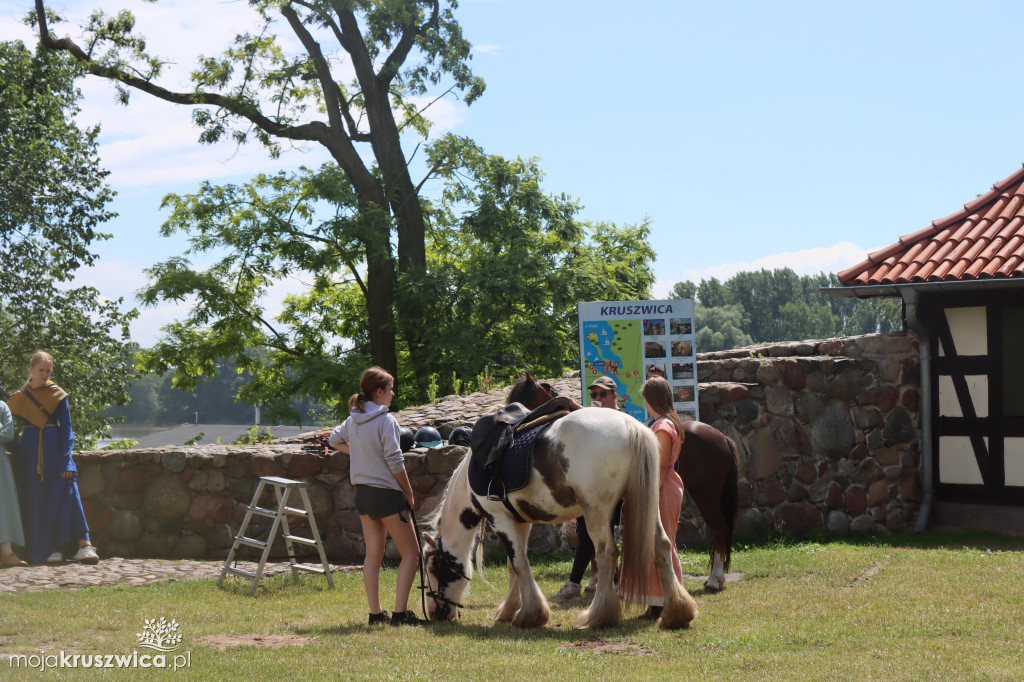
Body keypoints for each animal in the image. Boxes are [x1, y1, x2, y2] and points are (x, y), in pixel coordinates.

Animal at [419, 405, 700, 630]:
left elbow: (519, 564)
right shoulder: (519, 521)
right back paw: (677, 612)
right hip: (644, 508)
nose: (435, 613)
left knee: (607, 554)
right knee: (662, 546)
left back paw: (598, 616)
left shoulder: (500, 519)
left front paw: (530, 615)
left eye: (433, 568)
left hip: (597, 514)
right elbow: (513, 565)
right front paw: (510, 610)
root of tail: (631, 426)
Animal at [509, 372, 737, 589]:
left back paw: (714, 579)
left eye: (525, 400)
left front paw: (597, 581)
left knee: (719, 530)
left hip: (706, 496)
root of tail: (723, 438)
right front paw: (599, 580)